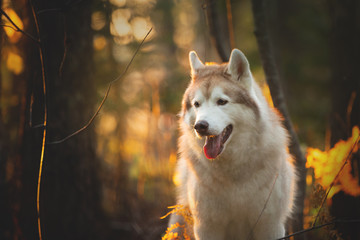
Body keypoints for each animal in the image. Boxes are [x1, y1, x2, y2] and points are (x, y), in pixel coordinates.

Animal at [169, 49, 296, 240]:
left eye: (221, 101)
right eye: (197, 104)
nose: (200, 126)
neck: (232, 171)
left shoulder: (269, 225)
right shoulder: (207, 227)